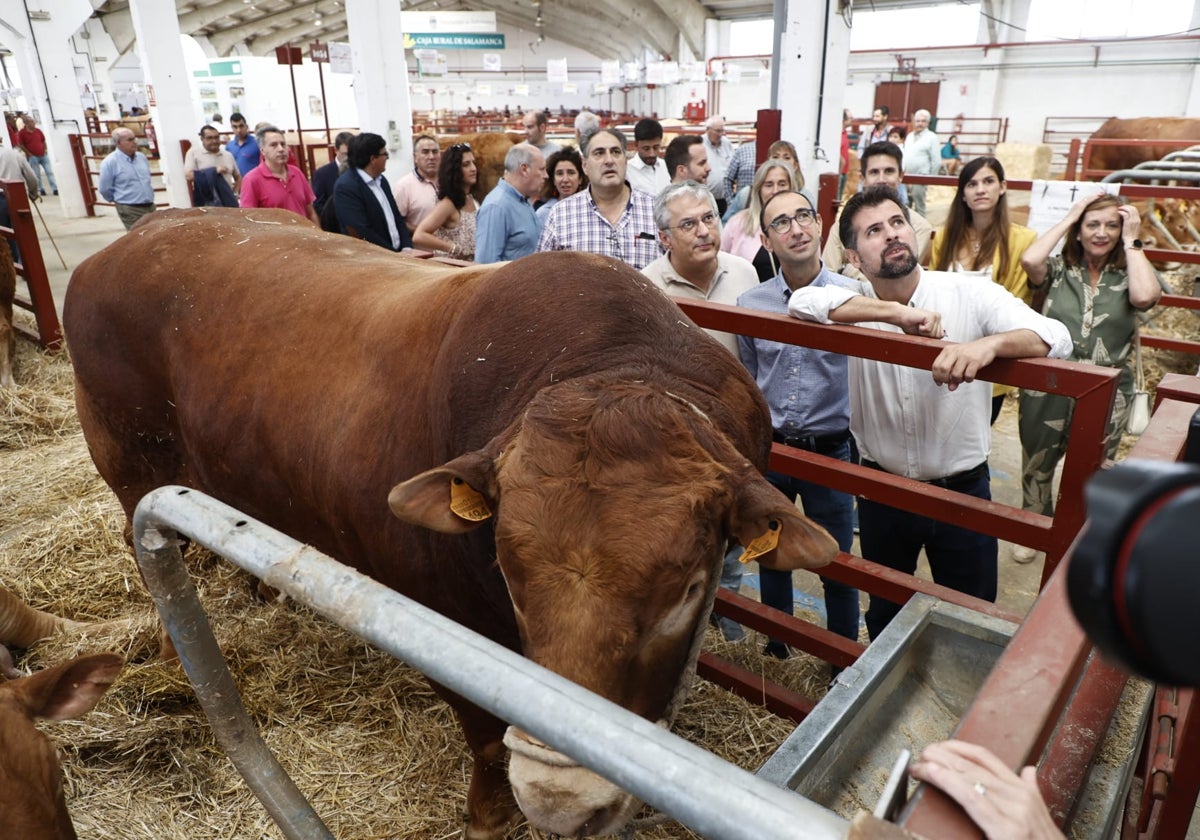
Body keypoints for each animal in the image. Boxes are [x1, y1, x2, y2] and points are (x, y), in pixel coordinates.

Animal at [65, 208, 835, 840]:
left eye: (687, 591)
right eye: (510, 573)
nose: (560, 799)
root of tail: (133, 240)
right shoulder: (439, 616)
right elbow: (487, 733)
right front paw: (492, 814)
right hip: (129, 466)